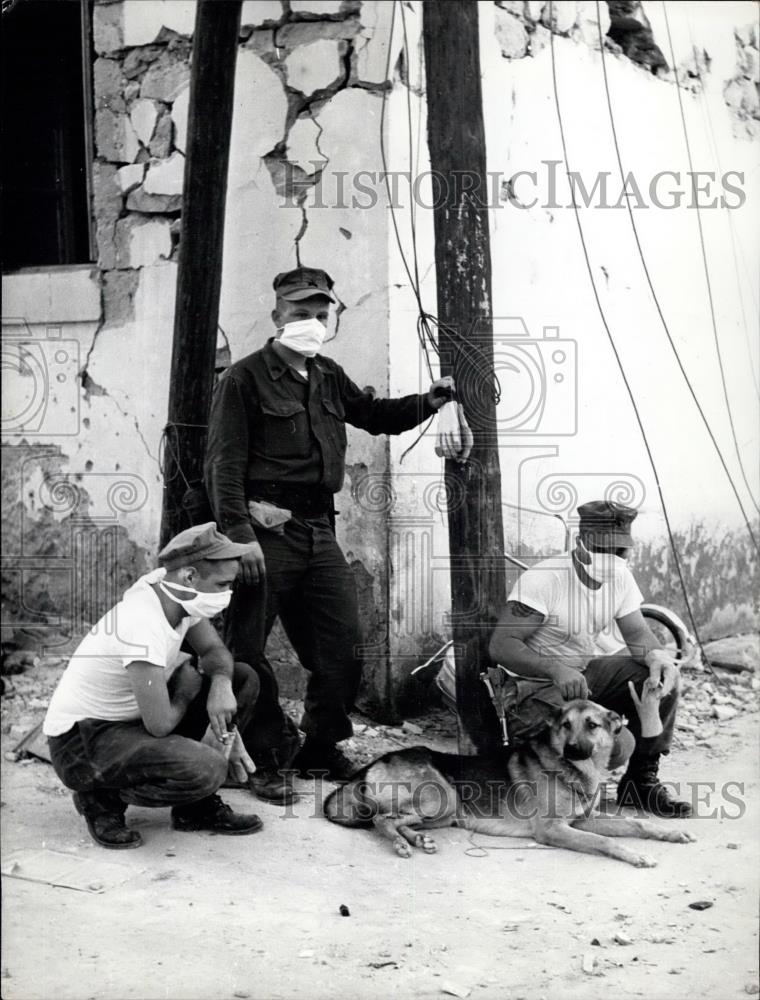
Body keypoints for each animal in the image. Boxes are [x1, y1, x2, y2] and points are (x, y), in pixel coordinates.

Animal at [324, 700, 696, 864]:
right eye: (565, 726)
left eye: (592, 726)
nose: (572, 750)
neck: (573, 770)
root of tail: (370, 765)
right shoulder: (553, 829)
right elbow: (604, 841)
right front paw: (635, 855)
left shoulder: (581, 819)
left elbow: (636, 823)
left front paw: (671, 833)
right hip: (441, 797)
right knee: (380, 819)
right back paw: (402, 844)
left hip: (446, 812)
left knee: (397, 820)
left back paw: (417, 840)